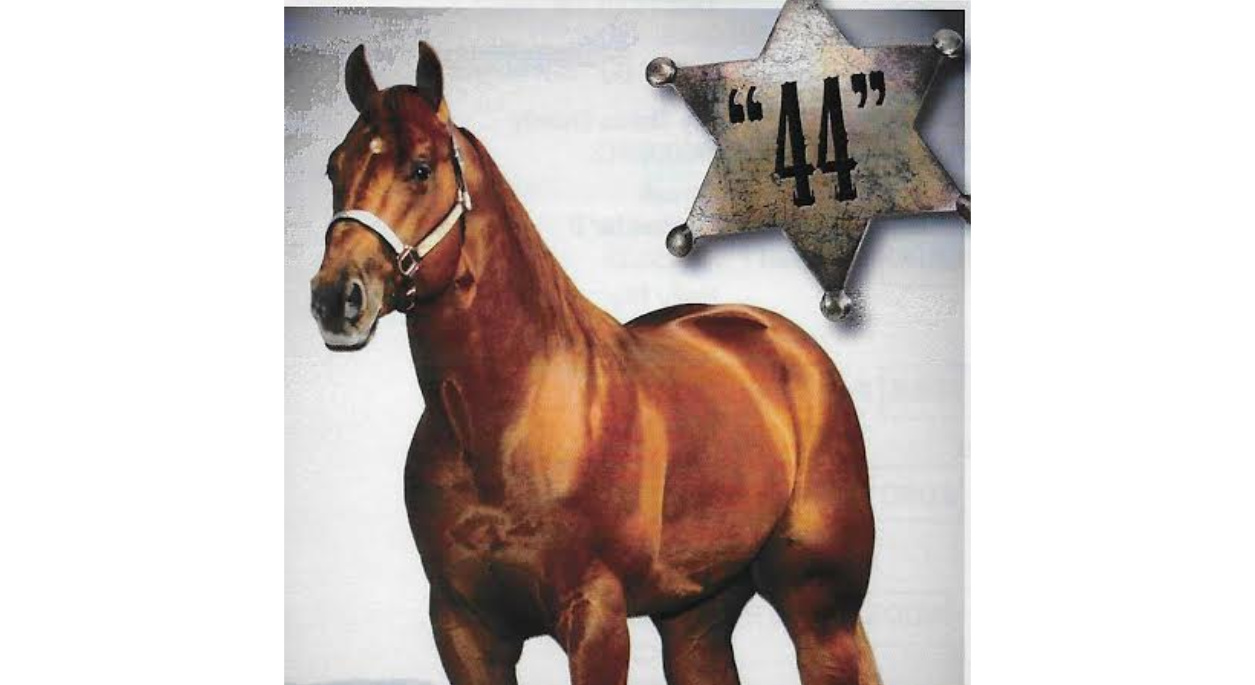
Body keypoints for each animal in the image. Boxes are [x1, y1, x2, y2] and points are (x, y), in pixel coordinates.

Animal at [309, 42, 881, 685]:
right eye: (334, 167)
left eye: (422, 168)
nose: (336, 298)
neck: (500, 423)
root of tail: (791, 344)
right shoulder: (463, 627)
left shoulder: (595, 618)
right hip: (695, 616)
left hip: (819, 610)